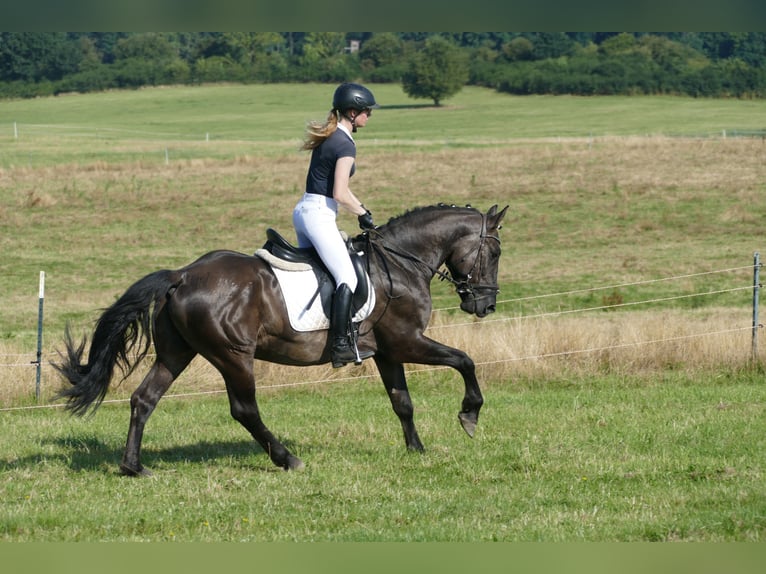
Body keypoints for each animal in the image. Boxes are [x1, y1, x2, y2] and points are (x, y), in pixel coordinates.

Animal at [54, 203, 509, 476]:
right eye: (496, 253)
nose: (485, 305)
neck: (401, 263)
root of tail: (182, 274)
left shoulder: (387, 351)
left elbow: (403, 402)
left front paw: (416, 449)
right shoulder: (407, 341)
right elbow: (465, 360)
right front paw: (469, 415)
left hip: (177, 352)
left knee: (144, 399)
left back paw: (134, 467)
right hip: (233, 355)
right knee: (244, 410)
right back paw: (288, 459)